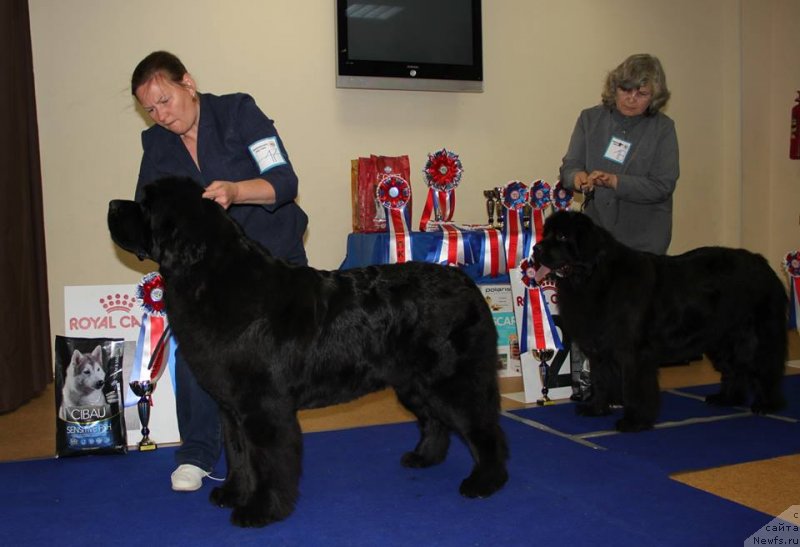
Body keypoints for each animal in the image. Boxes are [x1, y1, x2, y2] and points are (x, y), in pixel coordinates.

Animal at [106, 178, 510, 528]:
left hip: (452, 380)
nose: (111, 204)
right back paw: (424, 458)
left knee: (484, 428)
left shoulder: (263, 407)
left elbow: (267, 461)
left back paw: (485, 482)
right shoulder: (231, 408)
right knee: (434, 421)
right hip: (414, 382)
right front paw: (233, 494)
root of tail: (467, 283)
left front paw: (259, 510)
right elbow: (238, 455)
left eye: (146, 204)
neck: (211, 276)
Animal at [532, 212, 788, 434]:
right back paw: (726, 398)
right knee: (735, 368)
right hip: (721, 339)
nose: (536, 248)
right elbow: (600, 379)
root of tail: (762, 263)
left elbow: (634, 387)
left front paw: (634, 421)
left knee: (766, 368)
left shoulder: (633, 354)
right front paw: (596, 408)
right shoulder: (601, 350)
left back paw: (767, 404)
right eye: (546, 234)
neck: (595, 277)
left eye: (562, 236)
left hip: (755, 336)